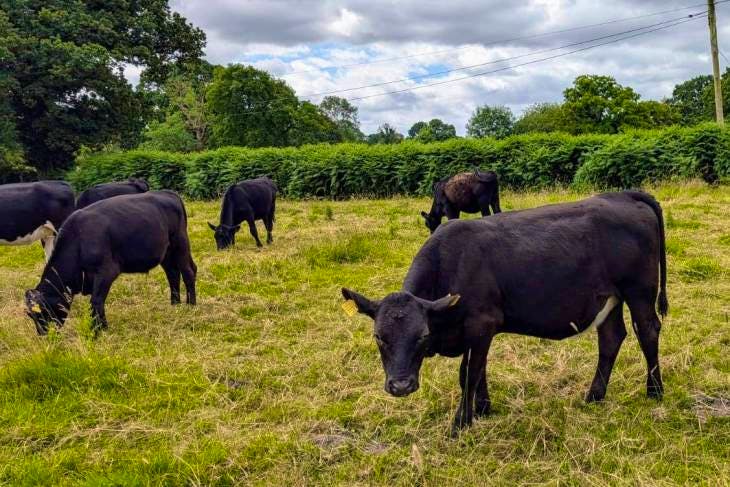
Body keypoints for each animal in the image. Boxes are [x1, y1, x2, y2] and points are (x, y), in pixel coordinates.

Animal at [25, 191, 196, 336]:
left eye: (42, 312)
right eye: (31, 316)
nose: (43, 334)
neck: (78, 239)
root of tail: (169, 193)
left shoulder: (106, 271)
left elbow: (96, 301)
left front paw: (97, 330)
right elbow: (96, 301)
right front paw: (101, 327)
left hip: (180, 243)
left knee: (188, 272)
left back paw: (191, 305)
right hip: (166, 252)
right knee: (172, 273)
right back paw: (175, 304)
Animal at [342, 192, 664, 438]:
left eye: (422, 335)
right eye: (379, 337)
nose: (400, 386)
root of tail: (622, 195)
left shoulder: (481, 324)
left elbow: (469, 374)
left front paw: (460, 423)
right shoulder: (472, 331)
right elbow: (478, 369)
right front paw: (483, 409)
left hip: (639, 291)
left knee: (648, 331)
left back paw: (654, 392)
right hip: (609, 299)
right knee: (610, 338)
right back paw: (594, 396)